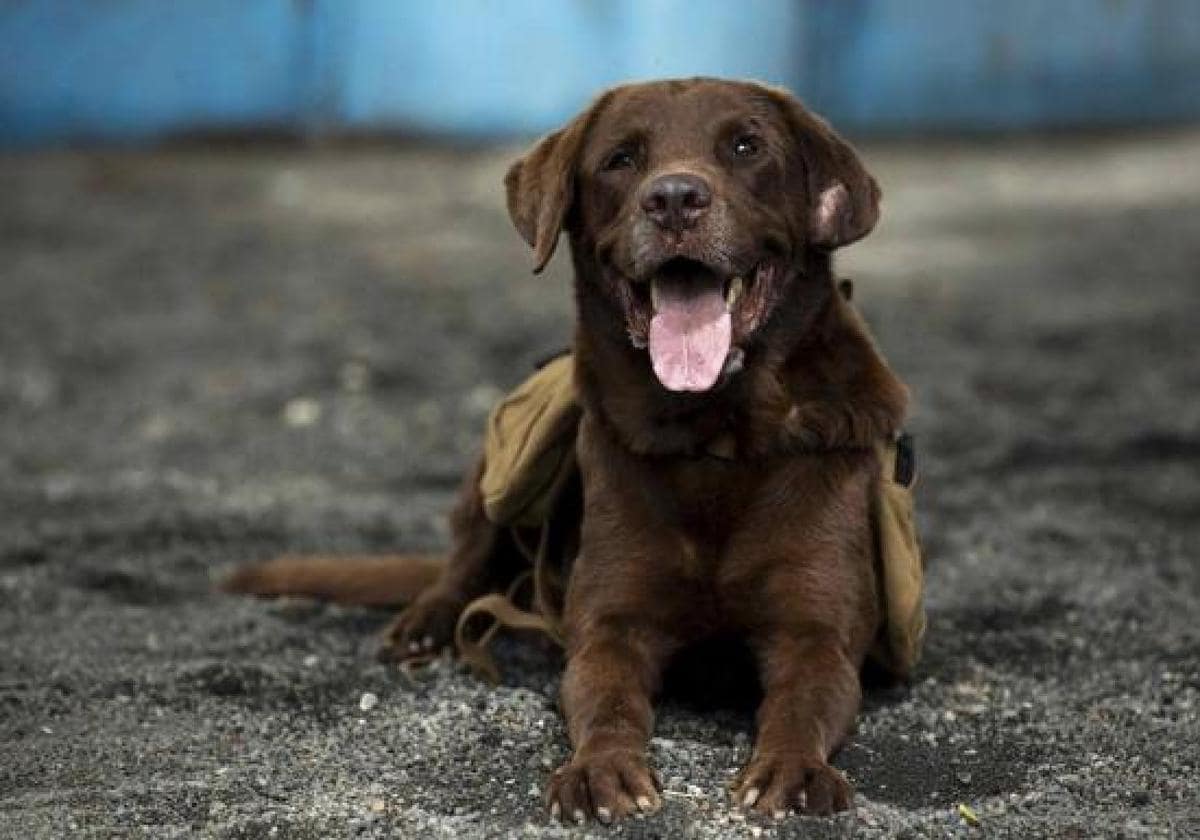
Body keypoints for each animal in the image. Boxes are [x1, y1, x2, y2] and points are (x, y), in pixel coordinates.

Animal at [225, 80, 907, 825]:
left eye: (746, 147)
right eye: (621, 159)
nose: (674, 199)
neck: (713, 440)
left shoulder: (816, 634)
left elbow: (801, 701)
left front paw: (792, 769)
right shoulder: (608, 626)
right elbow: (605, 700)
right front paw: (600, 771)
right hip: (500, 465)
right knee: (466, 561)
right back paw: (428, 623)